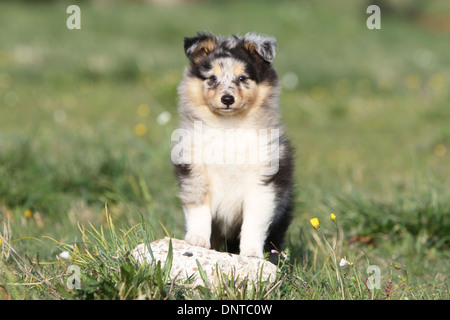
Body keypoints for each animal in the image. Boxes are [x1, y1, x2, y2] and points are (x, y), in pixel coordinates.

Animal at [172, 31, 296, 258]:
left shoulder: (263, 181)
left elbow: (254, 222)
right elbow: (199, 210)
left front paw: (251, 252)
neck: (228, 127)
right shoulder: (194, 172)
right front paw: (197, 240)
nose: (227, 99)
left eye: (242, 78)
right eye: (212, 78)